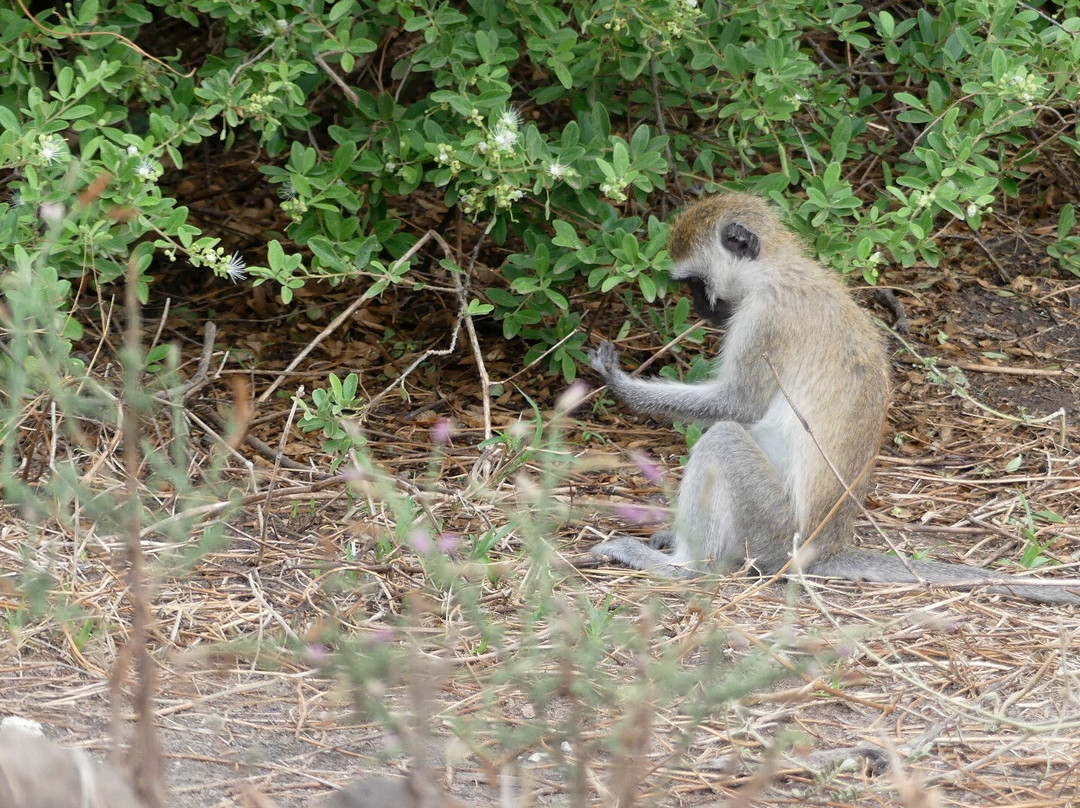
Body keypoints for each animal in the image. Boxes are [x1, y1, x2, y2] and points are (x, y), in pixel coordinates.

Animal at [589, 192, 1080, 605]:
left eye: (694, 282)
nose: (699, 309)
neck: (777, 270)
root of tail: (823, 549)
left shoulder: (764, 318)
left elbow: (738, 405)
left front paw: (620, 384)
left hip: (772, 529)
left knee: (723, 441)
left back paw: (684, 569)